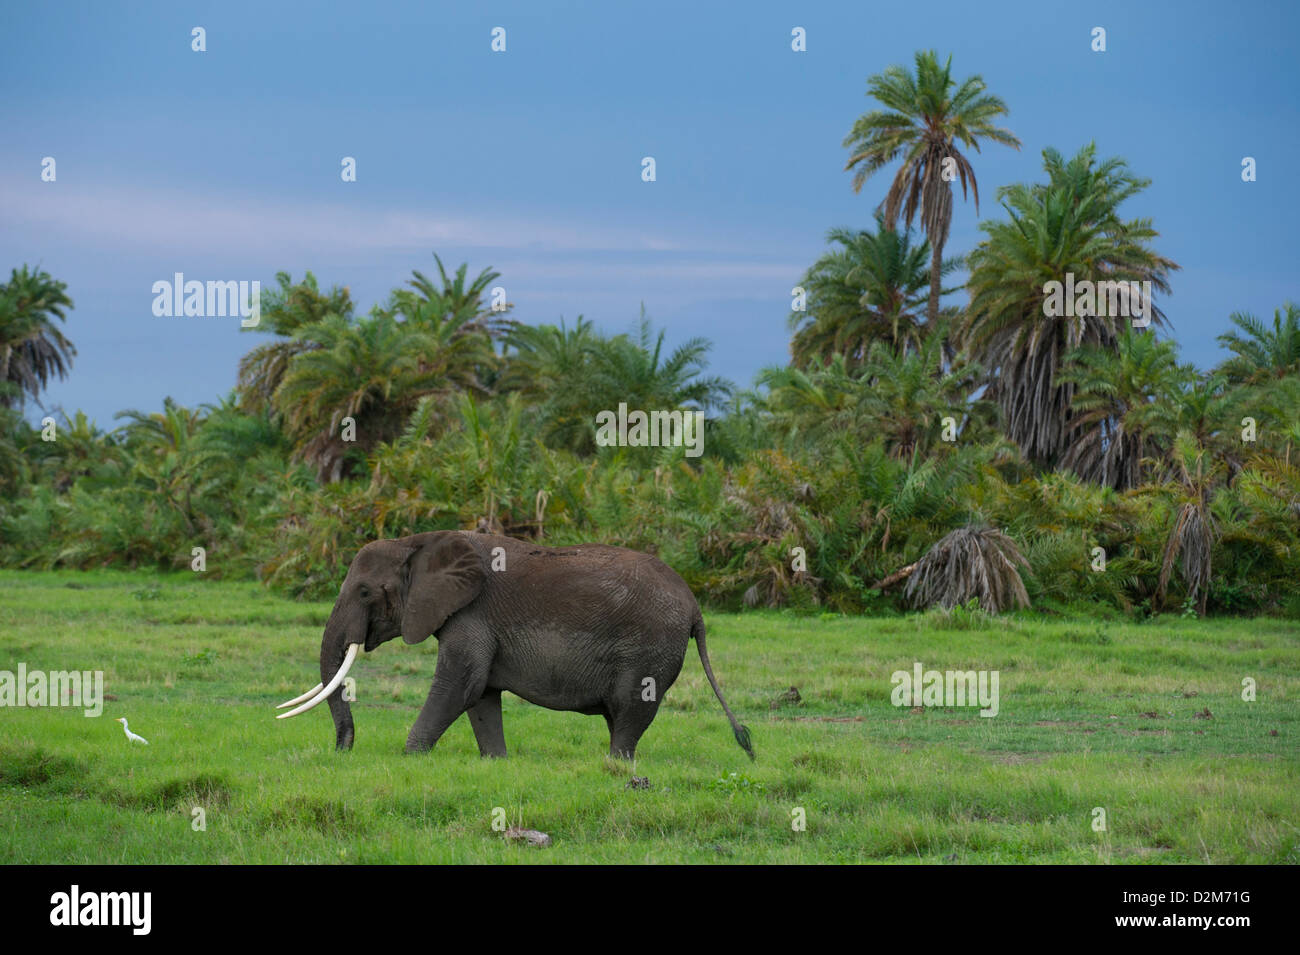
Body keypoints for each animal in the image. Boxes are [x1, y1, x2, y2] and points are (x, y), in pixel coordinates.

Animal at [279, 530, 759, 764]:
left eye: (363, 592)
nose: (342, 750)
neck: (415, 542)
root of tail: (695, 607)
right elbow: (481, 695)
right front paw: (496, 764)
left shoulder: (471, 614)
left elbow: (459, 685)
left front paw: (409, 757)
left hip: (649, 646)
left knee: (630, 710)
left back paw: (617, 768)